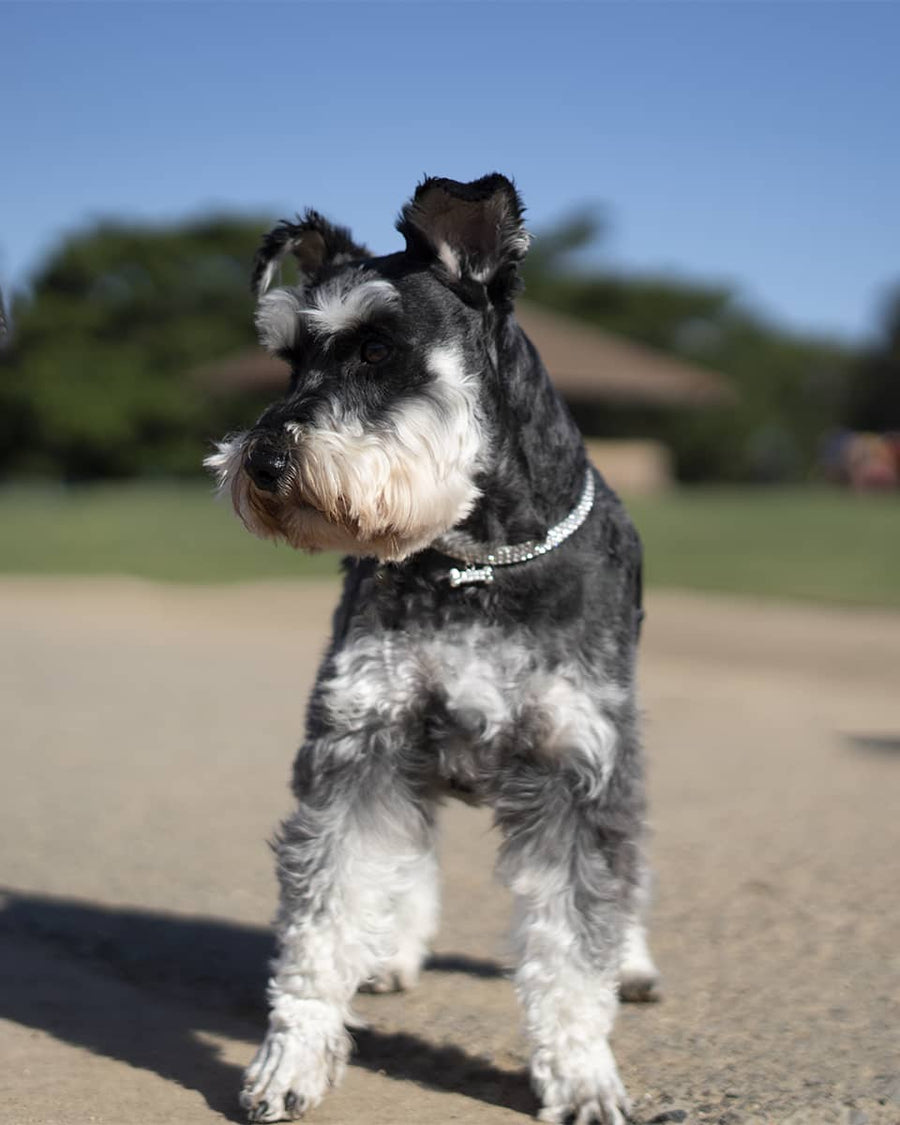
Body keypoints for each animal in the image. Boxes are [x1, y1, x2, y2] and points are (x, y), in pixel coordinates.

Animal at [209, 175, 661, 1125]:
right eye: (289, 359)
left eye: (378, 347)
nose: (261, 463)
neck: (477, 560)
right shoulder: (359, 742)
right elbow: (324, 920)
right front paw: (291, 1058)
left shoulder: (579, 761)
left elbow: (576, 942)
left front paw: (584, 1075)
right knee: (407, 849)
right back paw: (389, 948)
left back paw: (634, 961)